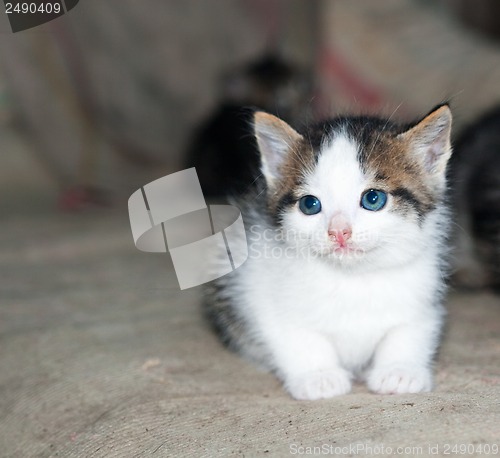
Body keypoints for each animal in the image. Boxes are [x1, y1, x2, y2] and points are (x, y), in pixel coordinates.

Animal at [203, 105, 454, 398]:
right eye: (309, 204)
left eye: (373, 198)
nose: (339, 231)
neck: (354, 277)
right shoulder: (254, 283)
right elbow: (293, 333)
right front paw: (319, 376)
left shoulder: (424, 292)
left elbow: (411, 328)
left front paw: (400, 370)